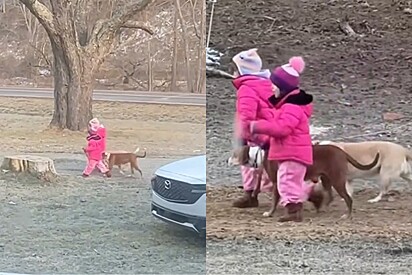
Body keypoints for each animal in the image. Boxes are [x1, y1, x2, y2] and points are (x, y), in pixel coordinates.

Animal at [235, 144, 380, 220]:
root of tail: (341, 152)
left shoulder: (277, 182)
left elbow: (274, 201)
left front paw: (270, 213)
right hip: (326, 179)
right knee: (330, 196)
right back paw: (322, 208)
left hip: (337, 180)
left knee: (348, 199)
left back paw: (347, 215)